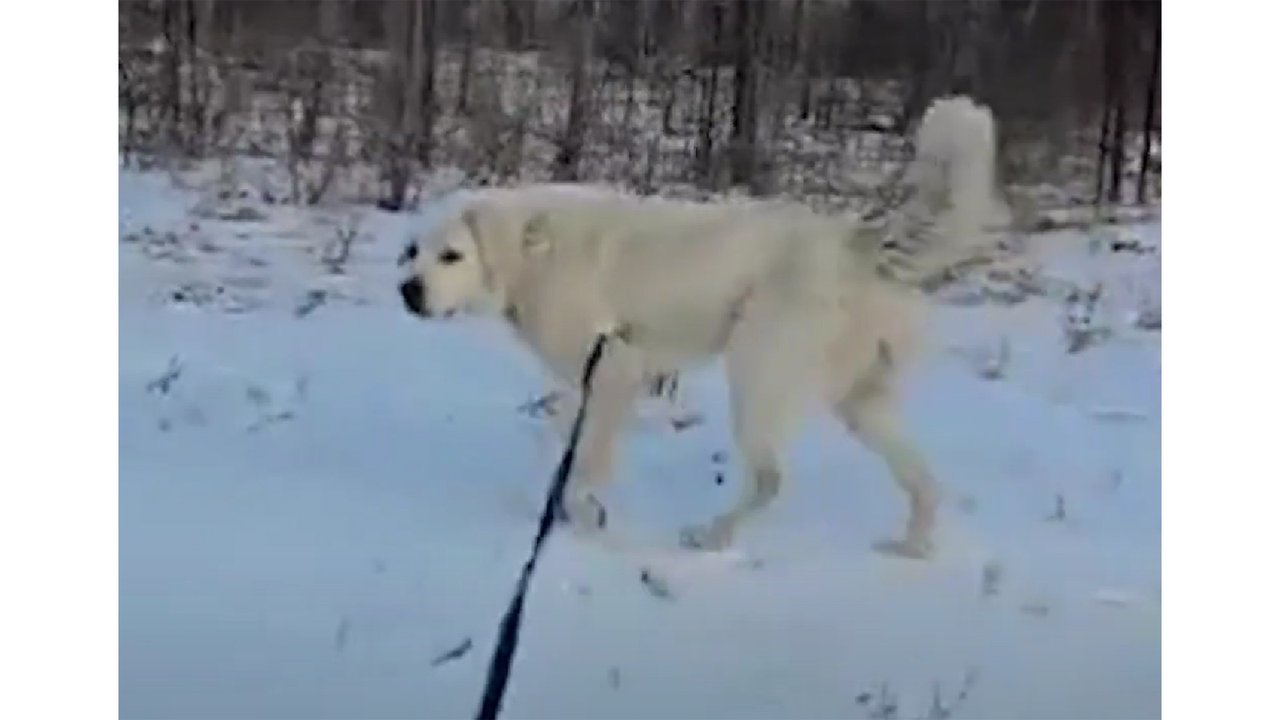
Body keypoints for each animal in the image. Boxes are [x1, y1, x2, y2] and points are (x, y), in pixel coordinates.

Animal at [404, 94, 1003, 556]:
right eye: (412, 252)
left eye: (452, 255)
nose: (409, 291)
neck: (532, 250)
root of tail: (855, 241)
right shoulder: (585, 382)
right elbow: (563, 444)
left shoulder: (615, 370)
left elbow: (588, 463)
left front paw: (585, 515)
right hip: (861, 400)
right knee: (923, 480)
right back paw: (912, 547)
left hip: (759, 376)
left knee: (769, 479)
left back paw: (712, 536)